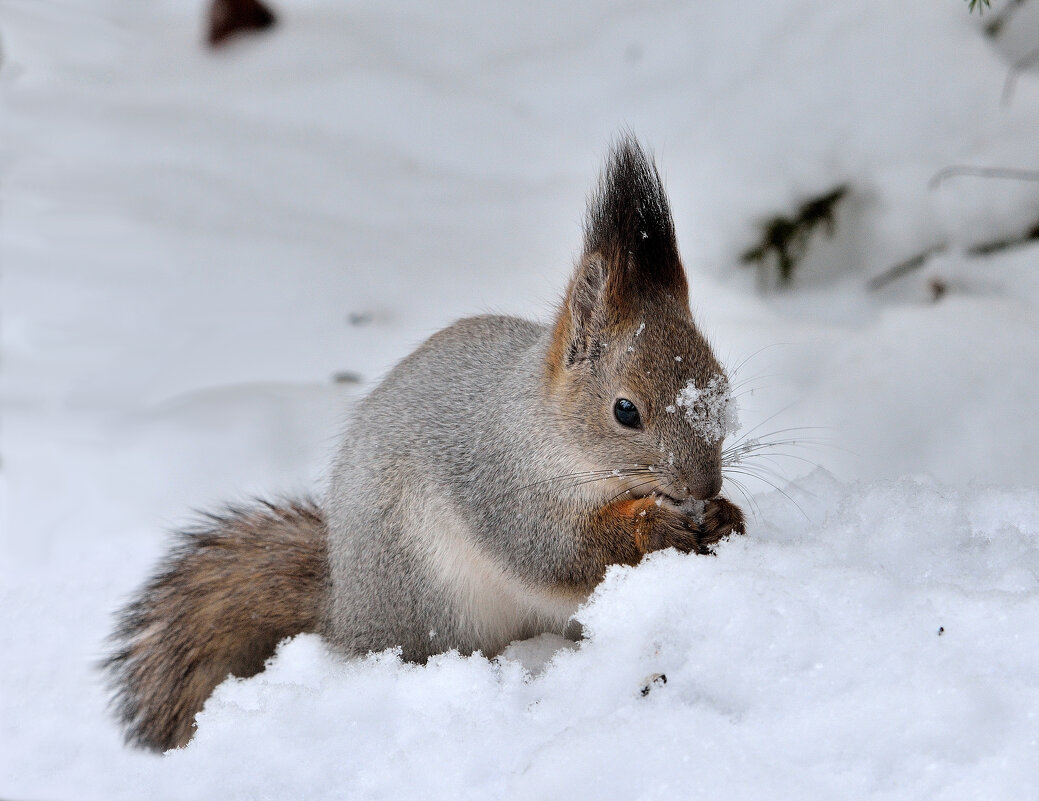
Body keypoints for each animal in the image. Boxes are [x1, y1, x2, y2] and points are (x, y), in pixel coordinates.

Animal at [103, 135, 748, 756]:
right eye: (625, 411)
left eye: (722, 385)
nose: (704, 485)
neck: (548, 431)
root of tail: (346, 614)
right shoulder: (500, 488)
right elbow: (555, 553)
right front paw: (653, 526)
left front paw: (726, 517)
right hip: (432, 597)